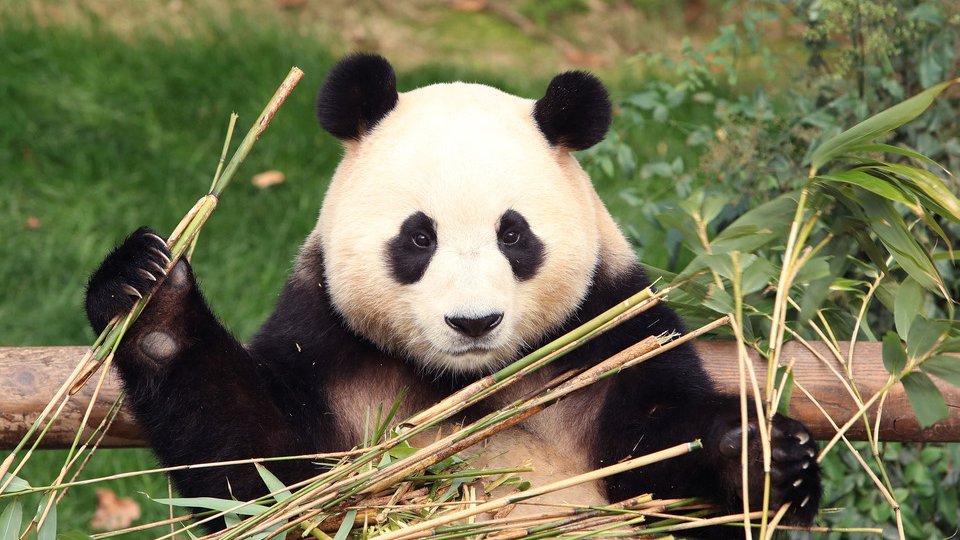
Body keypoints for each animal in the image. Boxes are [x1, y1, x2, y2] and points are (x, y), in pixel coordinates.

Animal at [85, 54, 821, 535]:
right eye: (418, 238)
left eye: (514, 234)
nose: (475, 322)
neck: (467, 382)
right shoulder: (329, 348)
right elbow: (261, 471)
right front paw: (149, 293)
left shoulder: (612, 332)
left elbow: (661, 455)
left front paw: (762, 458)